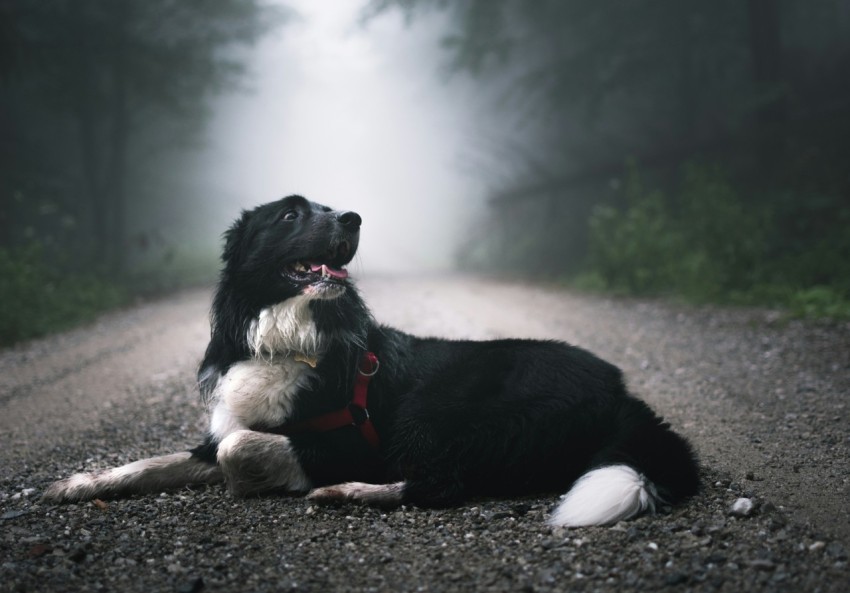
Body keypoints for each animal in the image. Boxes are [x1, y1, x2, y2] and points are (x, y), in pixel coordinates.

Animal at [43, 195, 700, 528]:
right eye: (290, 214)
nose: (354, 218)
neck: (291, 334)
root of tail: (622, 391)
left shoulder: (352, 439)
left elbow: (241, 449)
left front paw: (266, 480)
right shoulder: (219, 428)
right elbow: (152, 462)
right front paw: (78, 483)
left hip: (439, 413)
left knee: (445, 483)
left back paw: (348, 493)